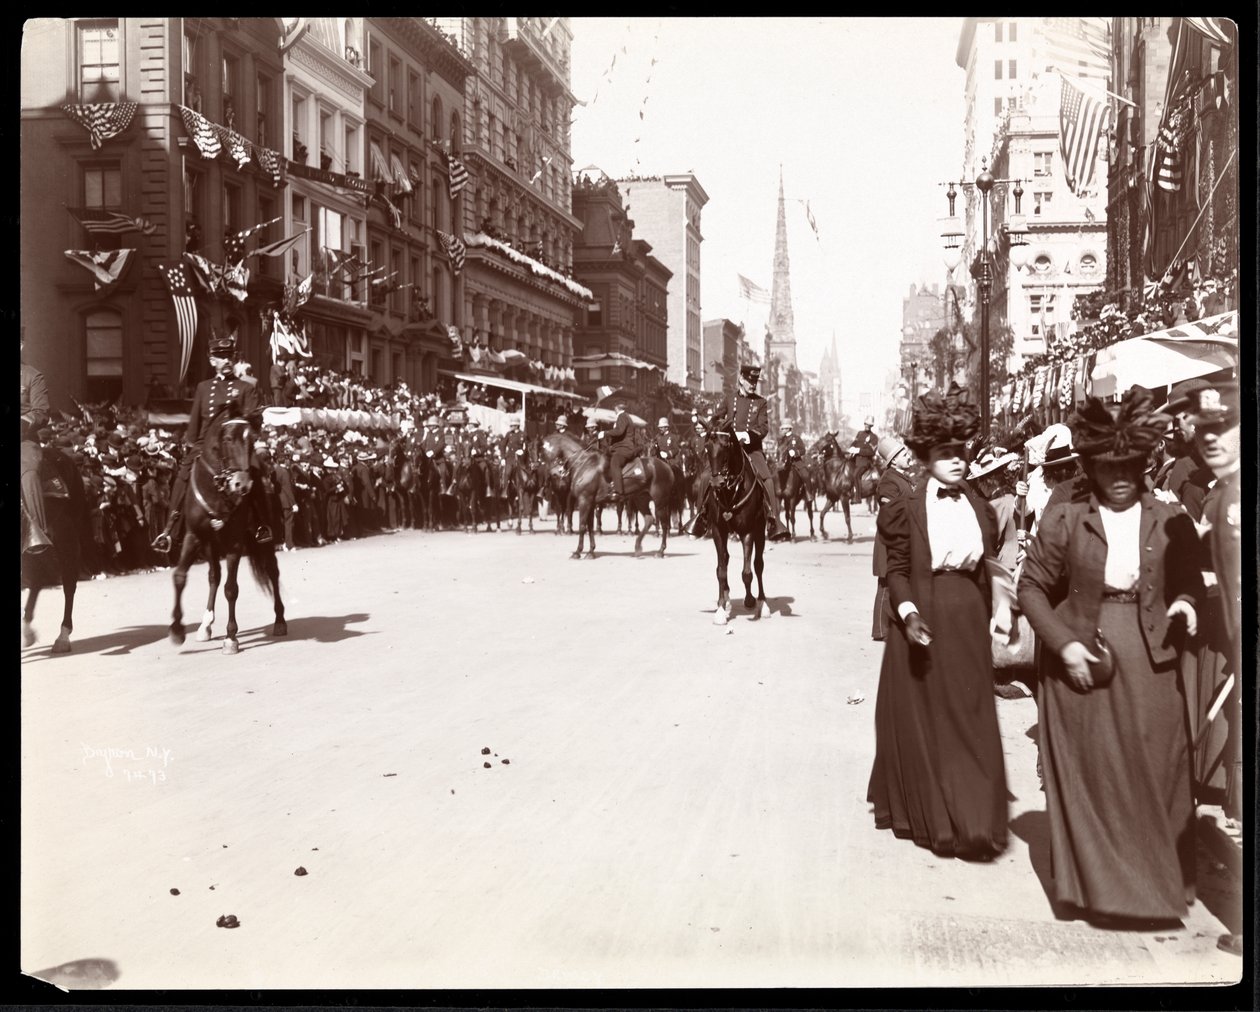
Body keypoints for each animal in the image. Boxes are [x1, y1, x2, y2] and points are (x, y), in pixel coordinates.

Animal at [167, 410, 283, 655]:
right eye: (228, 439)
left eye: (252, 439)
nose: (242, 484)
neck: (217, 490)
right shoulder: (194, 537)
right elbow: (180, 577)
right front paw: (177, 629)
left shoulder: (234, 544)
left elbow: (231, 589)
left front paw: (231, 637)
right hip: (210, 545)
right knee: (214, 576)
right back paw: (205, 625)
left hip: (265, 540)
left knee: (272, 572)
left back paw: (280, 620)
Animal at [544, 431, 675, 562]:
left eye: (543, 449)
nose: (553, 474)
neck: (584, 463)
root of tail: (667, 467)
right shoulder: (590, 503)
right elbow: (590, 527)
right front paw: (590, 552)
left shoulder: (584, 500)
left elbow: (582, 526)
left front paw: (577, 552)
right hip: (641, 499)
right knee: (649, 520)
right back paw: (638, 548)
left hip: (660, 502)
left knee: (664, 524)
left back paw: (660, 551)